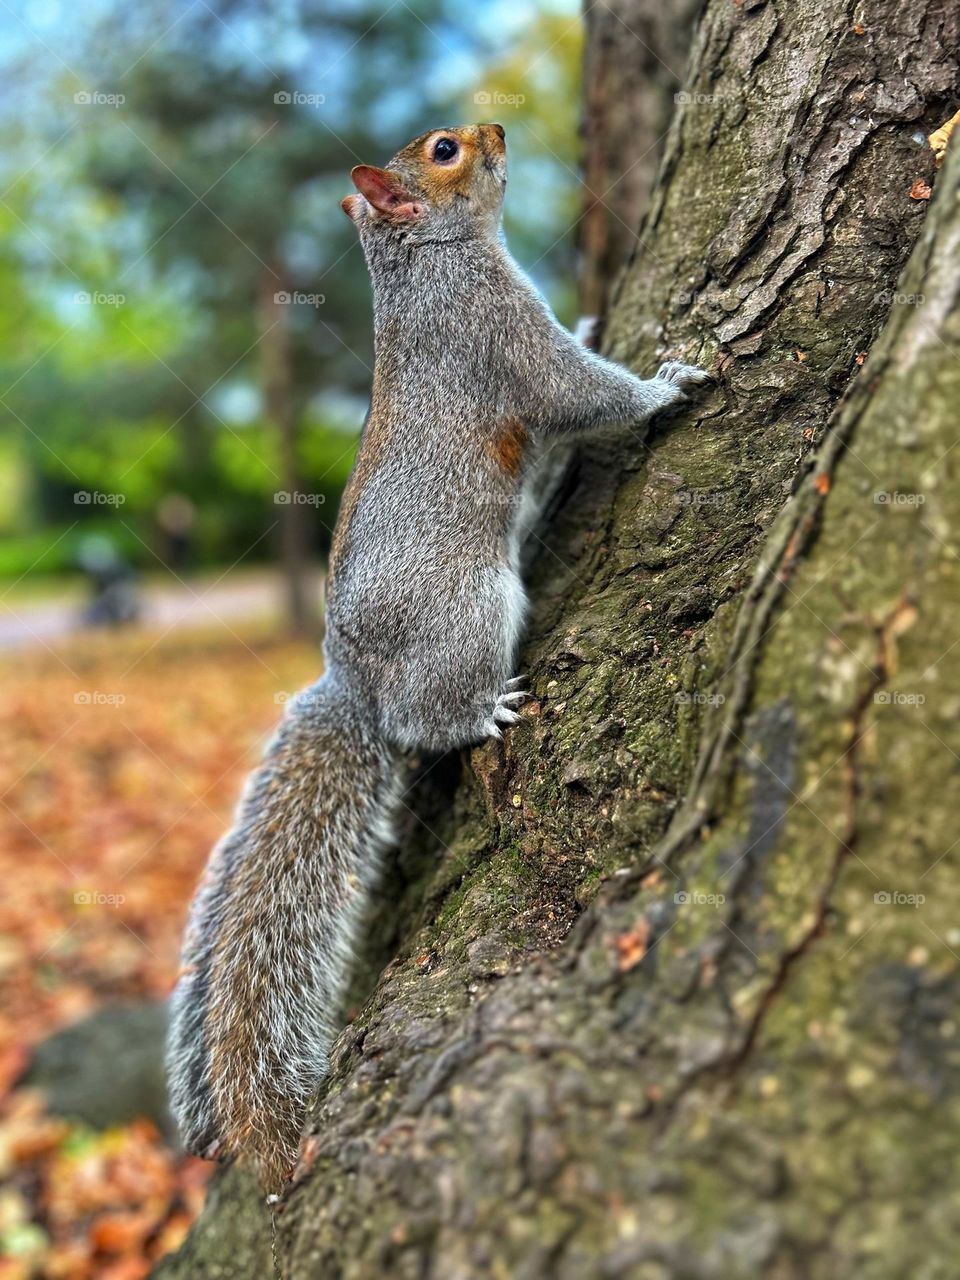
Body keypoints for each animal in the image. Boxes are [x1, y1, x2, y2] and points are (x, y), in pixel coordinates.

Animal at [166, 122, 711, 1195]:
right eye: (448, 149)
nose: (498, 129)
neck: (425, 262)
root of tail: (359, 685)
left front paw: (600, 309)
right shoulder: (494, 328)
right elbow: (580, 390)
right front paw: (671, 383)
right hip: (469, 611)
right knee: (428, 721)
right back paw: (479, 713)